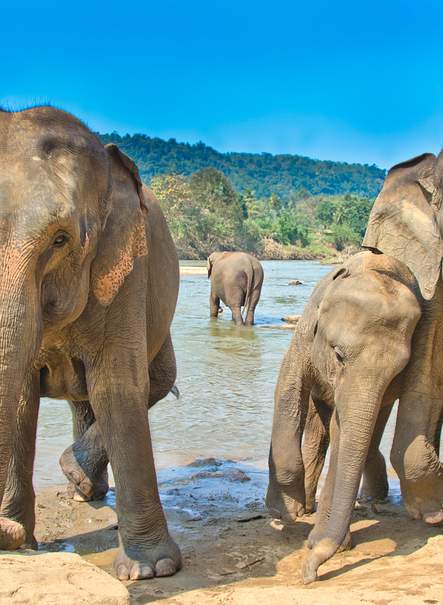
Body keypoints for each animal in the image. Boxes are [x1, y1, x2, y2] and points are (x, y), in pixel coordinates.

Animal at [0, 107, 182, 580]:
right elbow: (22, 396)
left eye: (61, 239)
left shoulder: (127, 270)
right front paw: (18, 539)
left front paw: (150, 569)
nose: (6, 530)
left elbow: (118, 387)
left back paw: (79, 480)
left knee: (154, 382)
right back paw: (83, 488)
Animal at [266, 249, 422, 580]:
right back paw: (305, 509)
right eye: (338, 355)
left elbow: (346, 433)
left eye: (399, 372)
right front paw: (285, 512)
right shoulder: (306, 334)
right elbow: (288, 390)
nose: (309, 574)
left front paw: (322, 542)